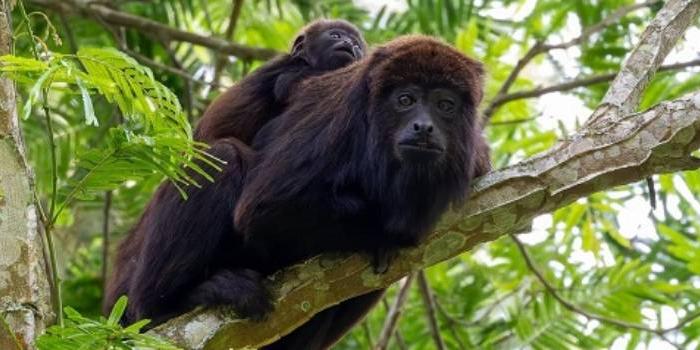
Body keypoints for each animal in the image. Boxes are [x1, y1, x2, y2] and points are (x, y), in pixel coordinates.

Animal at [105, 34, 492, 348]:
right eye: (406, 100)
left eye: (445, 106)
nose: (423, 127)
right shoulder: (341, 113)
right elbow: (267, 207)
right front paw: (393, 227)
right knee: (222, 155)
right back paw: (169, 304)